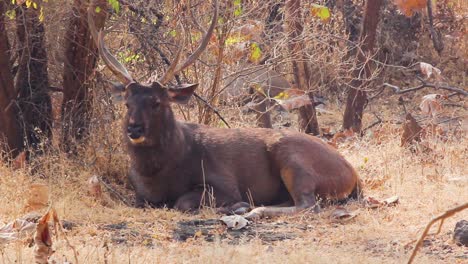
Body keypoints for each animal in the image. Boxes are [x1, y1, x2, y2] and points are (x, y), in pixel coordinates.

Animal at [88, 2, 362, 219]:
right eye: (127, 103)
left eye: (156, 102)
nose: (134, 128)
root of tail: (353, 175)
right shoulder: (140, 193)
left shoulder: (224, 182)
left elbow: (182, 201)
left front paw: (236, 205)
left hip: (294, 159)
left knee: (308, 204)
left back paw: (252, 209)